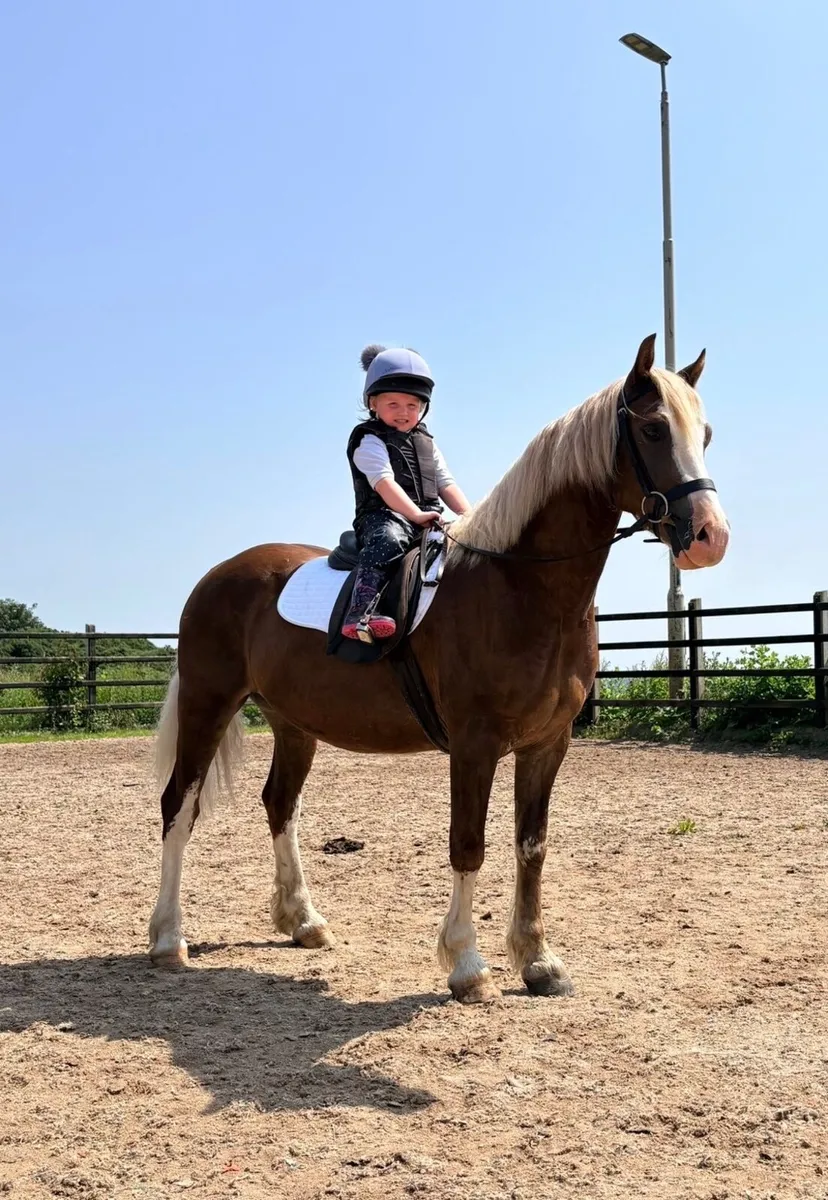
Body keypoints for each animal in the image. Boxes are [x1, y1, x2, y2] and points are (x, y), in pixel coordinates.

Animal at [149, 334, 729, 1003]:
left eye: (704, 434)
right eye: (655, 429)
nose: (711, 537)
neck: (523, 588)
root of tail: (219, 574)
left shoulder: (548, 744)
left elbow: (531, 844)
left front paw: (538, 960)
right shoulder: (475, 744)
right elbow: (469, 845)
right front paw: (468, 965)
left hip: (293, 722)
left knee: (280, 805)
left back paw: (303, 921)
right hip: (209, 702)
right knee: (179, 805)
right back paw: (168, 939)